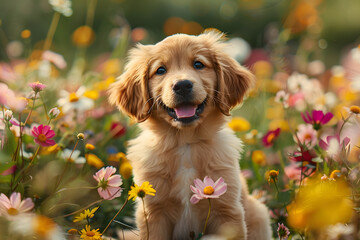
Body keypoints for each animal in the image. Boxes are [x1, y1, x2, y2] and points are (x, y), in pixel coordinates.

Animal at [108, 30, 272, 240]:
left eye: (198, 64)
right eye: (161, 70)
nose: (183, 85)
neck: (185, 144)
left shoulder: (227, 213)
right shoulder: (154, 213)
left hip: (259, 214)